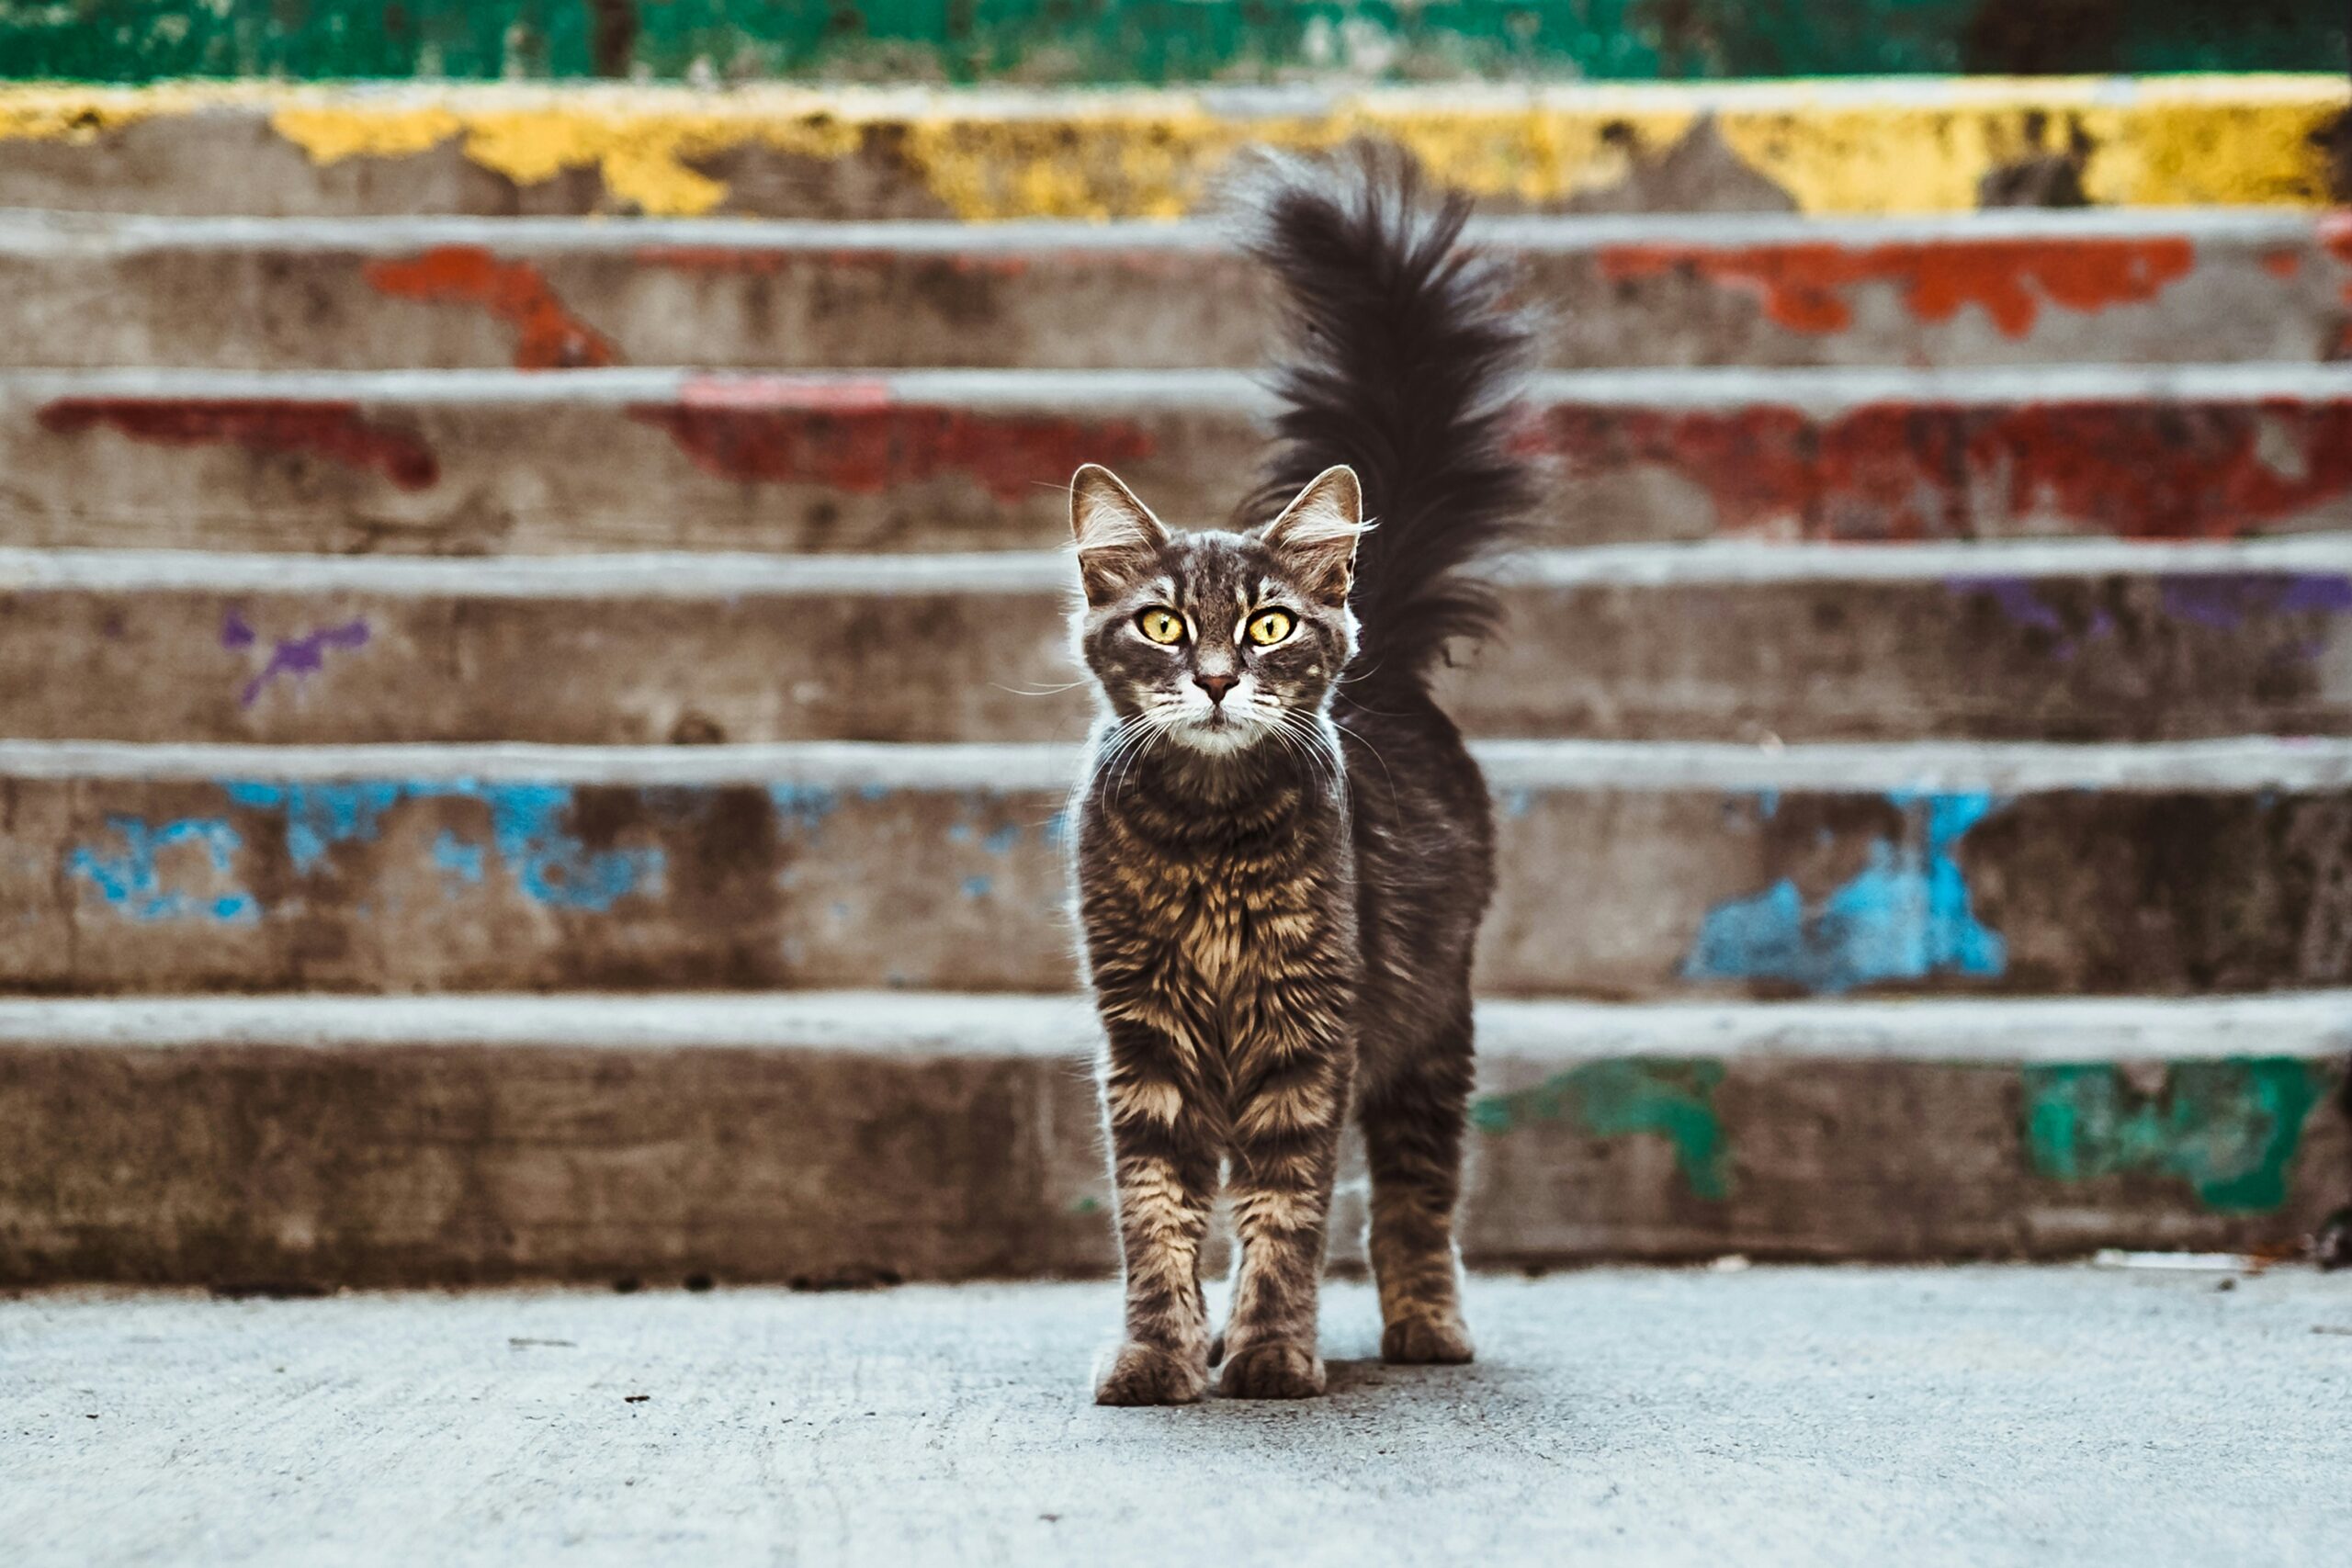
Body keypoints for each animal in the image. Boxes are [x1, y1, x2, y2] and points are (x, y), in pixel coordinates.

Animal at [1072, 146, 1543, 1401]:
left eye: (1270, 625)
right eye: (1166, 626)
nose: (1219, 679)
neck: (1206, 836)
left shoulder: (1307, 1036)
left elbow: (1287, 1214)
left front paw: (1275, 1357)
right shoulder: (1144, 1042)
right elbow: (1158, 1219)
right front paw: (1159, 1356)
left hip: (1430, 1026)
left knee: (1414, 1202)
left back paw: (1425, 1327)